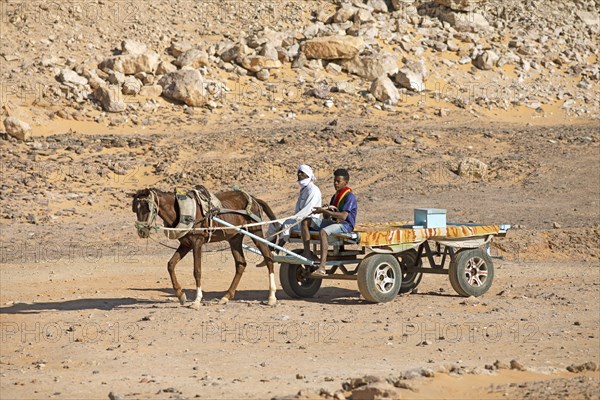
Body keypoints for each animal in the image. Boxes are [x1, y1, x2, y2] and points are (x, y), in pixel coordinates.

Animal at [132, 188, 278, 310]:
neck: (182, 211)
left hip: (256, 231)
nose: (142, 231)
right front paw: (181, 295)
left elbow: (197, 271)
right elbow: (171, 264)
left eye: (147, 208)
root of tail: (254, 199)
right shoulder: (186, 244)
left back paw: (271, 297)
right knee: (241, 263)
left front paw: (196, 300)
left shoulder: (197, 242)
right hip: (235, 238)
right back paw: (226, 297)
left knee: (268, 257)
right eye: (135, 209)